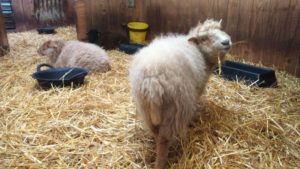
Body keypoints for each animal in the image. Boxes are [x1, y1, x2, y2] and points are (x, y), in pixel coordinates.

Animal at [129, 19, 232, 168]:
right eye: (204, 38)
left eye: (221, 29)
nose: (226, 42)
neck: (199, 52)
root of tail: (152, 81)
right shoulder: (196, 91)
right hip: (174, 108)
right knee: (164, 139)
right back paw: (161, 162)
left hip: (145, 110)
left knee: (156, 134)